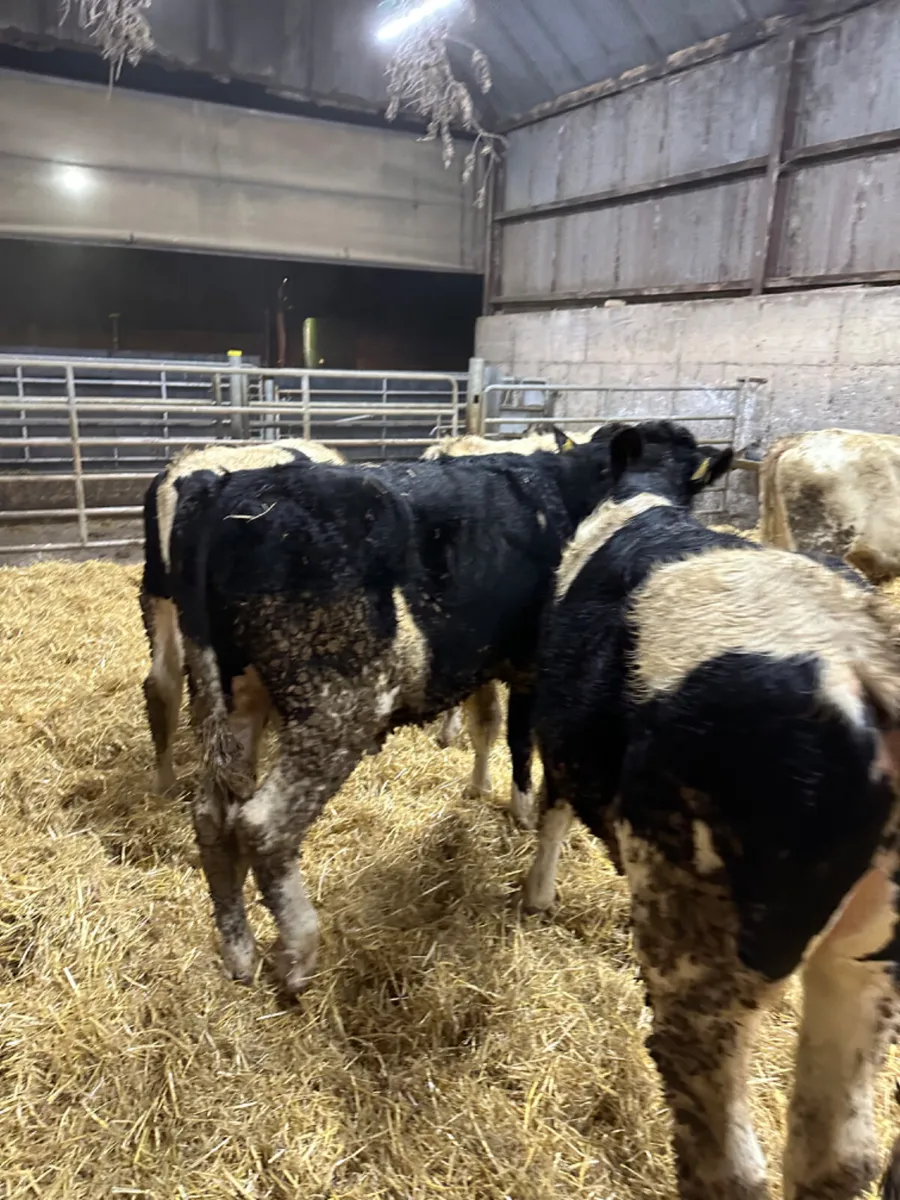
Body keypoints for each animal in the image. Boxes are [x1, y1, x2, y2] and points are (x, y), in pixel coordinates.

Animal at [166, 424, 731, 994]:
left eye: (689, 485)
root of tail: (226, 488)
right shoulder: (535, 668)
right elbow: (521, 741)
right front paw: (522, 811)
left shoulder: (484, 660)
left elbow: (487, 725)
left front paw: (482, 788)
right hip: (336, 704)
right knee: (264, 824)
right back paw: (297, 955)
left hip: (231, 696)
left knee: (212, 817)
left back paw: (239, 951)